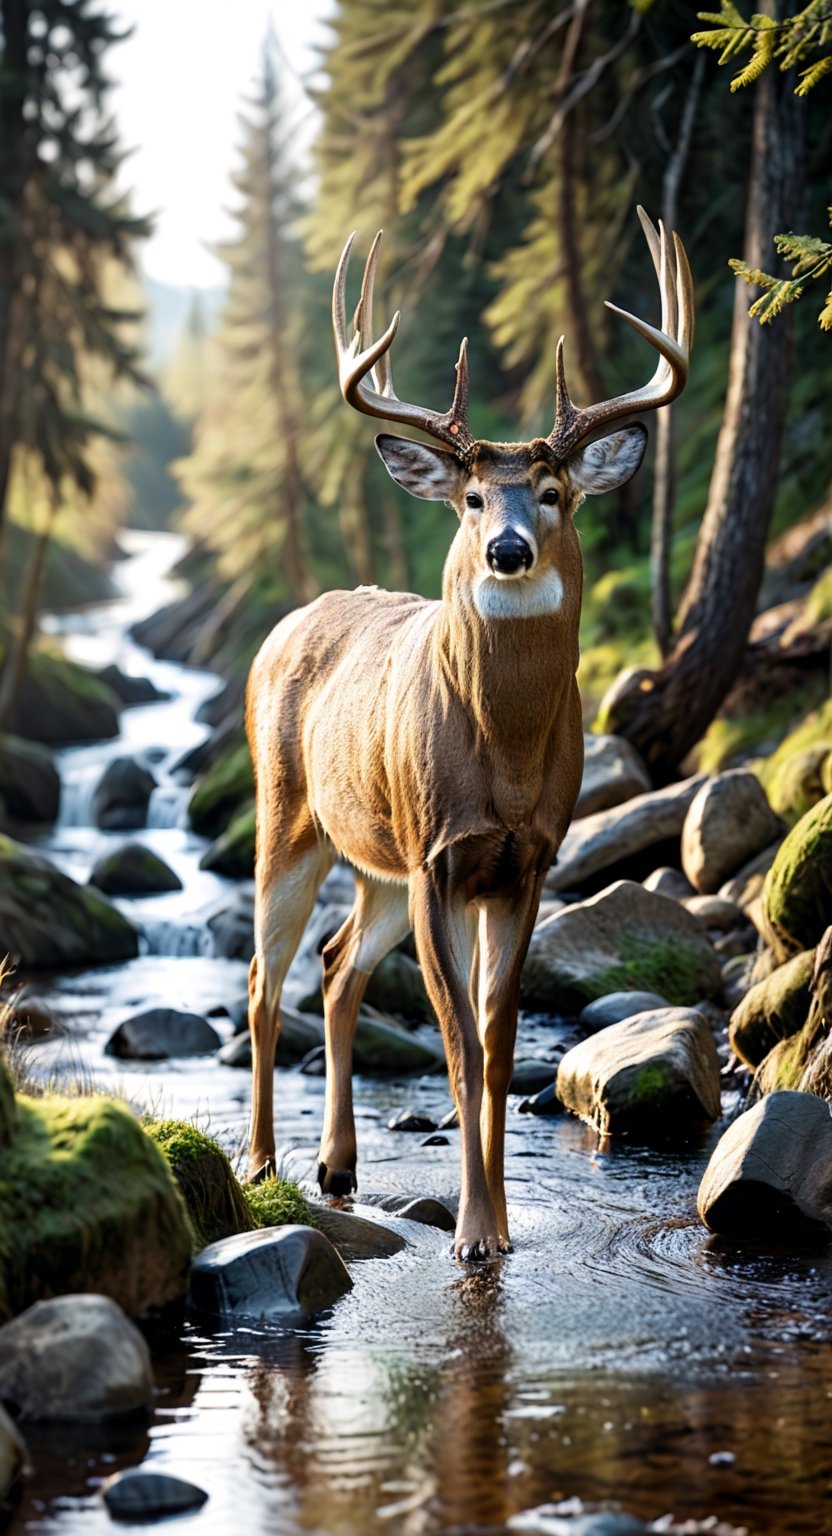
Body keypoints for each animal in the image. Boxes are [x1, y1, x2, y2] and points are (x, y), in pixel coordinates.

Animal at [245, 207, 696, 1259]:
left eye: (556, 492)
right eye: (473, 496)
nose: (508, 549)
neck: (506, 758)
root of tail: (283, 627)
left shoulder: (524, 860)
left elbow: (496, 1038)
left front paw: (501, 1224)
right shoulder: (441, 856)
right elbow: (453, 1039)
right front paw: (473, 1231)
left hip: (376, 855)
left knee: (335, 969)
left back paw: (337, 1166)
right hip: (291, 820)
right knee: (261, 980)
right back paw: (262, 1163)